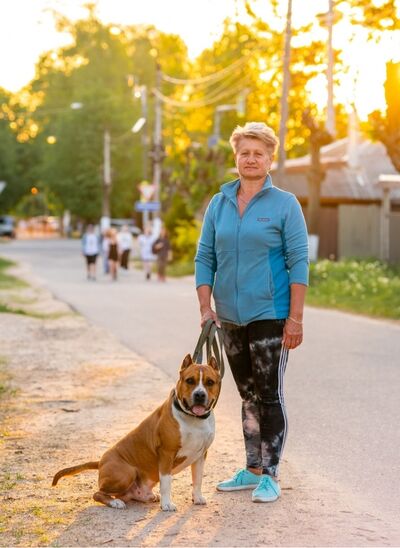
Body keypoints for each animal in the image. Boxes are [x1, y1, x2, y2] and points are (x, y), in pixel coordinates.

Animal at [51, 354, 220, 512]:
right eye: (190, 381)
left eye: (210, 382)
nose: (199, 395)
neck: (194, 420)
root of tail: (100, 462)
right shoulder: (166, 454)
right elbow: (166, 482)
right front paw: (166, 504)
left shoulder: (200, 455)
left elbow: (198, 479)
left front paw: (197, 497)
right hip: (127, 472)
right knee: (98, 493)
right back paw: (115, 502)